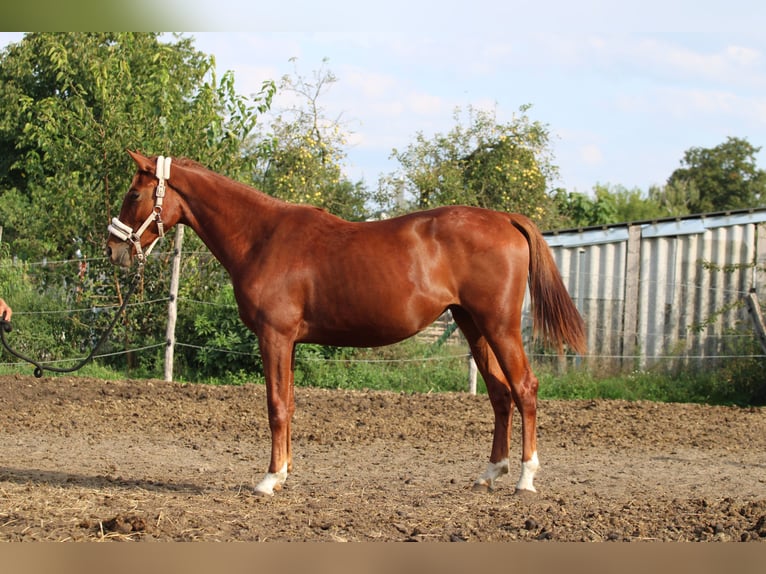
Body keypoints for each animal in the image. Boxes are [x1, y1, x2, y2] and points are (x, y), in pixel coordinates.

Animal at [106, 150, 586, 496]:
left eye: (133, 195)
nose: (113, 248)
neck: (262, 237)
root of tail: (505, 218)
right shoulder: (289, 342)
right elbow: (289, 404)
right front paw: (284, 473)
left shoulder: (274, 337)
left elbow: (276, 406)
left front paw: (267, 480)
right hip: (472, 325)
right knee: (500, 394)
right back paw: (490, 473)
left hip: (499, 326)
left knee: (525, 389)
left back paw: (525, 479)